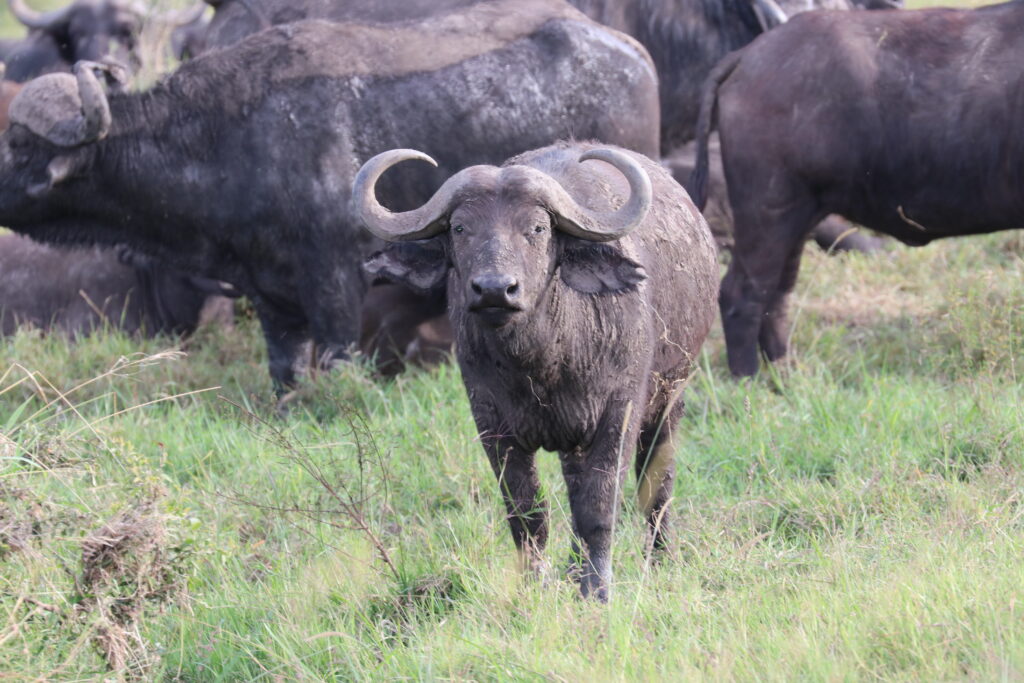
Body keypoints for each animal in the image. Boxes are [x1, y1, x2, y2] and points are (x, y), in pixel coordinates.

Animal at [356, 143, 716, 598]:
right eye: (459, 228)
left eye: (538, 228)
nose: (495, 289)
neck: (542, 364)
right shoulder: (492, 423)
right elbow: (527, 512)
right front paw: (535, 584)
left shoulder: (618, 414)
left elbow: (600, 505)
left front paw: (597, 589)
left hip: (671, 396)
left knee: (657, 480)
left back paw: (660, 557)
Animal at [688, 1, 1024, 378]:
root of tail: (747, 55)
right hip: (768, 211)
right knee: (742, 293)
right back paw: (748, 377)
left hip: (799, 217)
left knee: (777, 294)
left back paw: (783, 372)